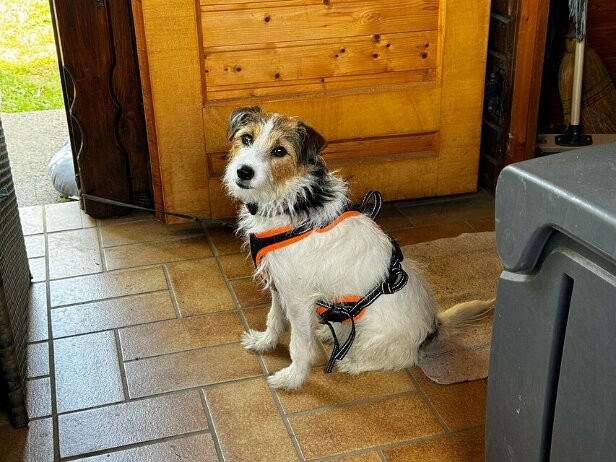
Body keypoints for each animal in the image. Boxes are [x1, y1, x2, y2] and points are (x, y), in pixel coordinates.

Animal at [223, 106, 492, 390]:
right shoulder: (278, 284)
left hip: (372, 330)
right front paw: (264, 343)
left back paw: (352, 363)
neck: (291, 200)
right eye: (246, 138)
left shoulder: (297, 297)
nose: (243, 172)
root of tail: (433, 328)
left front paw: (293, 377)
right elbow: (275, 318)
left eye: (279, 151)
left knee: (403, 358)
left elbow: (299, 343)